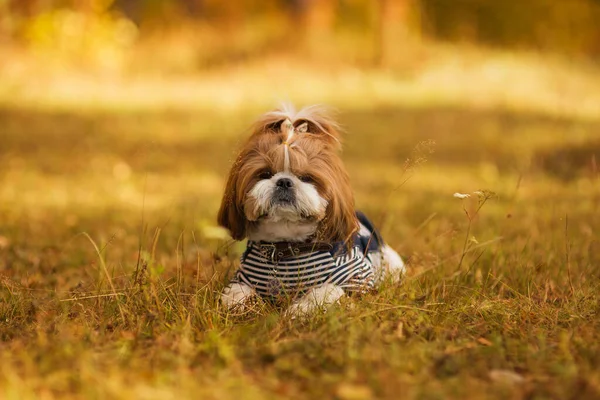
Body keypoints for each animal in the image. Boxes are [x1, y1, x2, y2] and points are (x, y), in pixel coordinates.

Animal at [216, 104, 404, 316]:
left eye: (306, 177)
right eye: (265, 174)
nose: (284, 181)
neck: (287, 246)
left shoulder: (356, 279)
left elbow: (325, 290)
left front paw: (299, 310)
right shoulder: (243, 275)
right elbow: (236, 291)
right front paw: (239, 302)